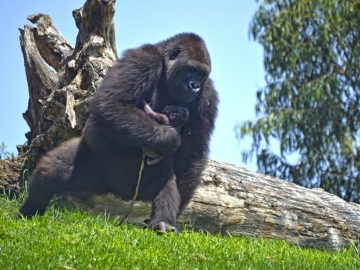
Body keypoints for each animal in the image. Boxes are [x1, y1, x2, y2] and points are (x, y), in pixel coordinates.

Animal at [20, 32, 219, 232]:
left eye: (202, 74)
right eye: (191, 69)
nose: (195, 85)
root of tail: (119, 192)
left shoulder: (208, 94)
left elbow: (192, 154)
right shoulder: (143, 58)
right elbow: (112, 103)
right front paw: (170, 138)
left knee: (165, 183)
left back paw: (163, 223)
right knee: (52, 169)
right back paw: (29, 209)